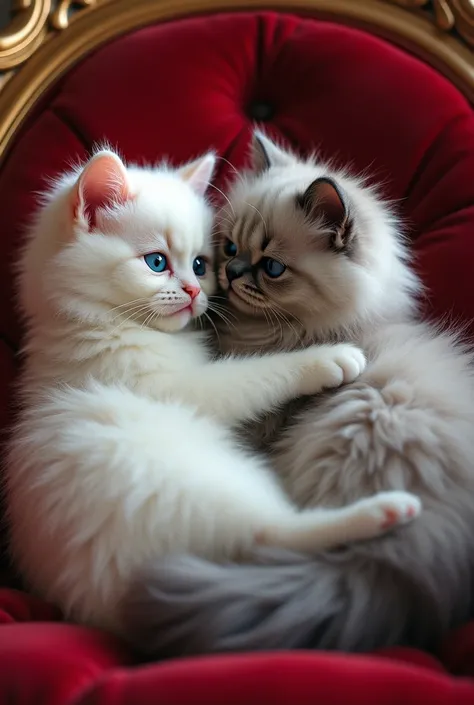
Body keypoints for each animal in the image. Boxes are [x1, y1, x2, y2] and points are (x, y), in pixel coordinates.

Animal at [6, 148, 418, 632]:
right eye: (157, 263)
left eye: (201, 264)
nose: (193, 291)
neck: (96, 323)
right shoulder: (184, 388)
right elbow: (255, 374)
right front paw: (330, 358)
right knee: (274, 530)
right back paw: (386, 510)